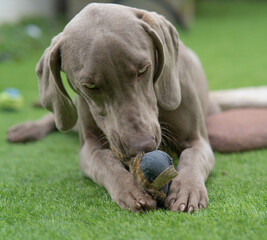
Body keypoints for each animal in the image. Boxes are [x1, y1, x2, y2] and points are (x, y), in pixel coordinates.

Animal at [7, 2, 230, 213]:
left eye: (143, 69)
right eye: (90, 85)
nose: (142, 146)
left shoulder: (197, 139)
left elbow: (193, 157)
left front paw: (187, 190)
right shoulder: (89, 147)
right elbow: (104, 160)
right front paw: (129, 190)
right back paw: (28, 129)